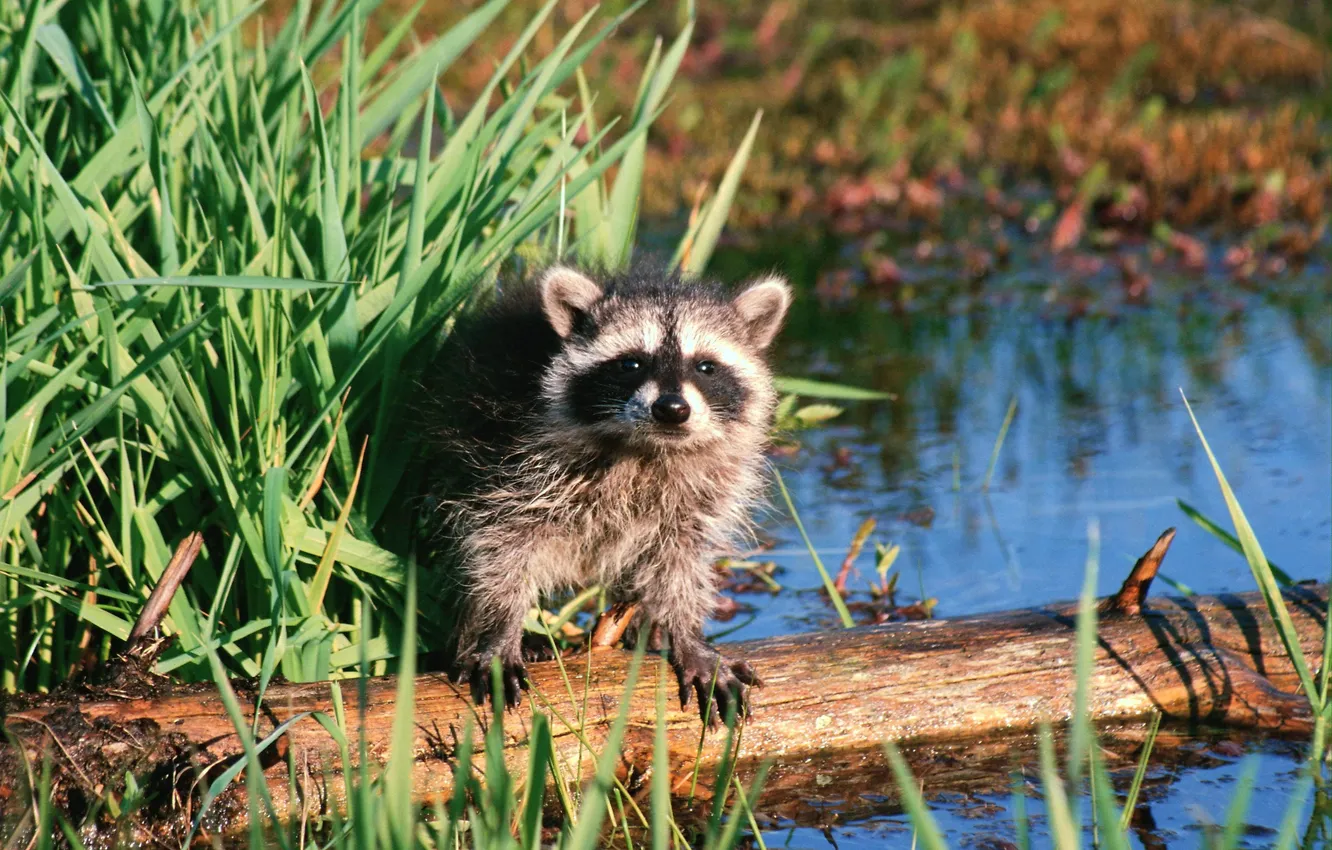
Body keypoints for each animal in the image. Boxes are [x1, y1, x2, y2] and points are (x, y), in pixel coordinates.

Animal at [421, 262, 790, 725]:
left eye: (705, 367)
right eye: (630, 363)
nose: (672, 409)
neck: (648, 447)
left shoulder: (702, 491)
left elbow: (682, 558)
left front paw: (687, 632)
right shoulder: (506, 461)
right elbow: (500, 545)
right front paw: (499, 628)